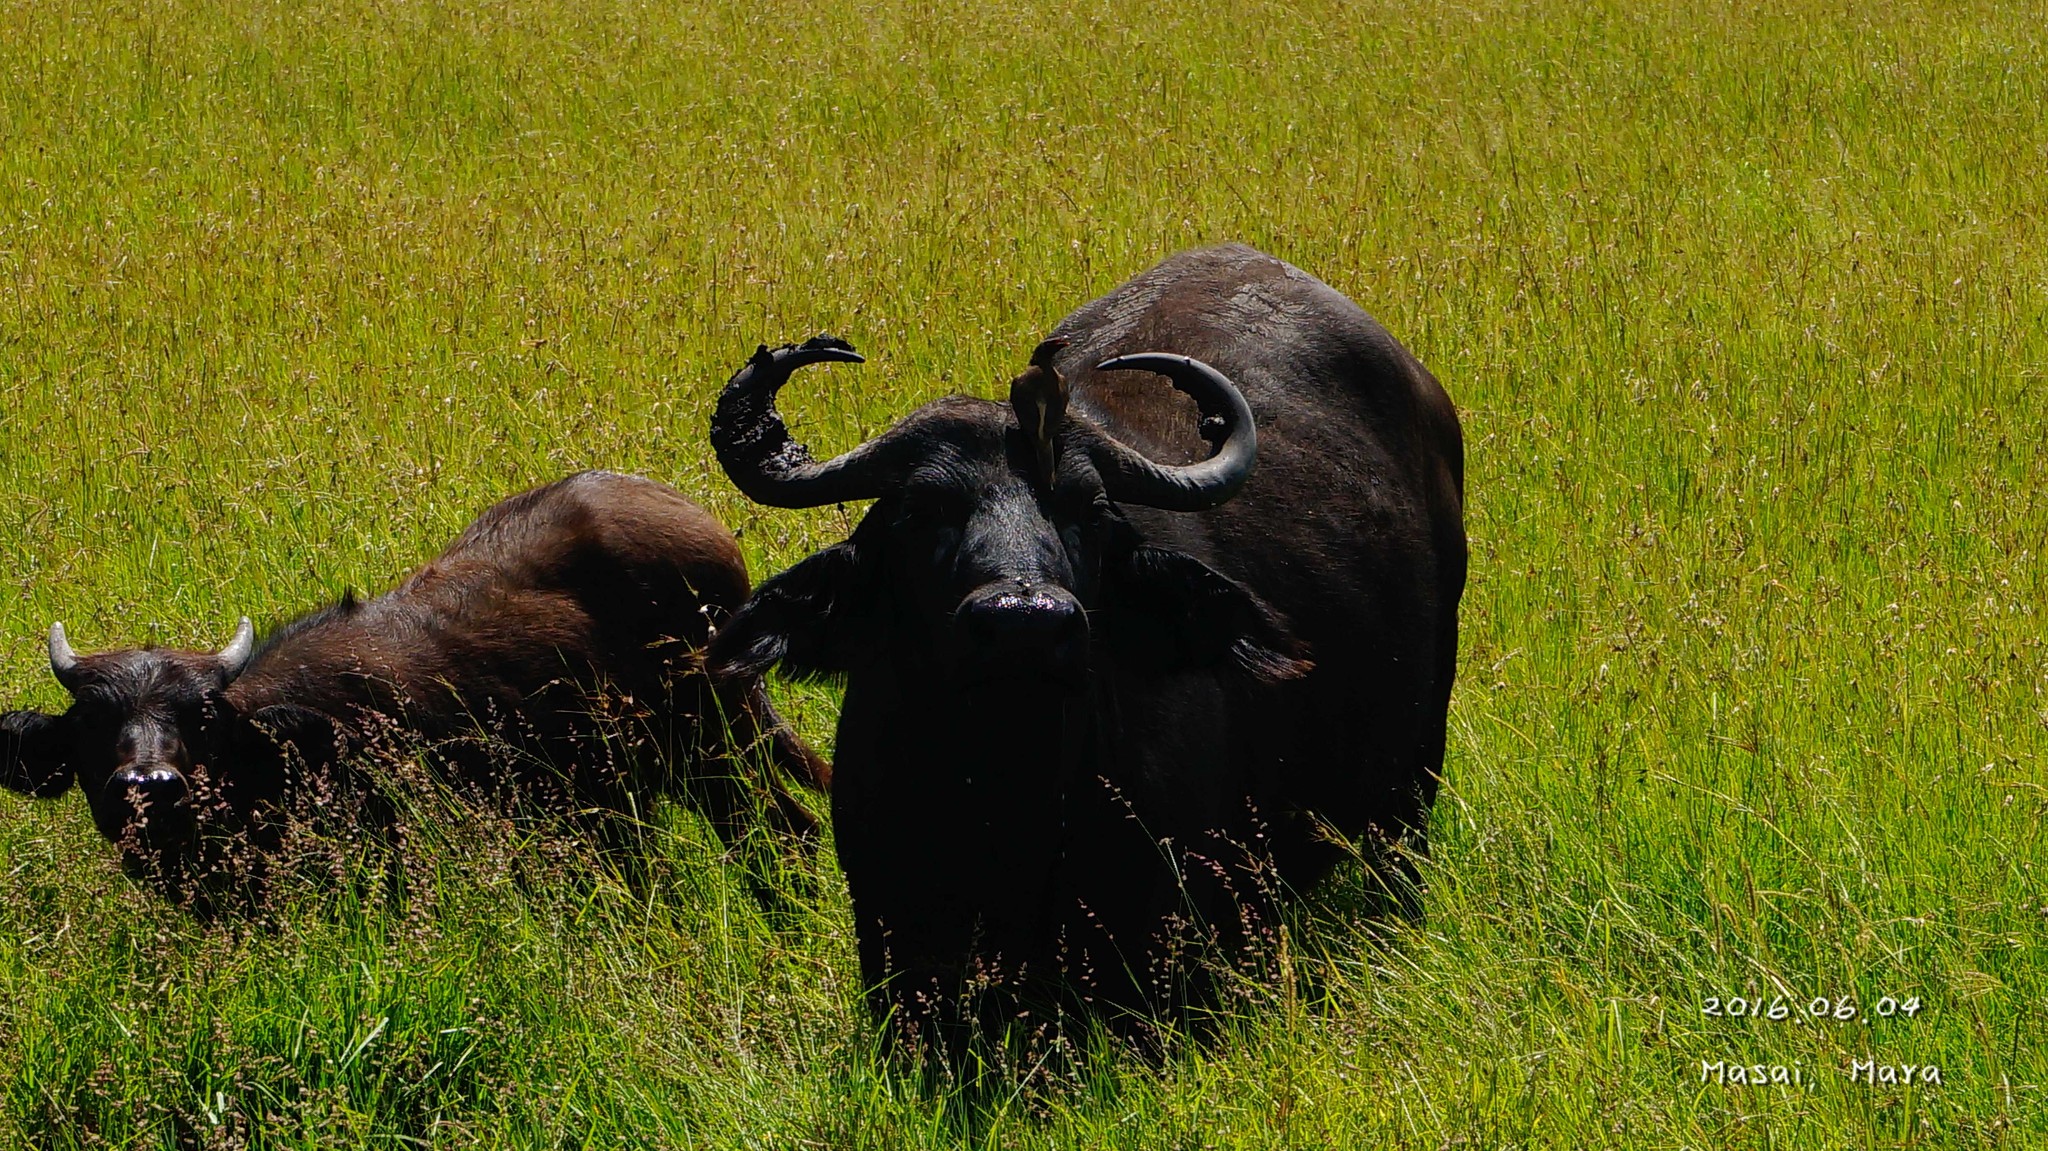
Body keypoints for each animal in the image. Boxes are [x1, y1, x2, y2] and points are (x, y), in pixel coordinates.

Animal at [712, 243, 1466, 1048]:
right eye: (920, 510)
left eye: (1091, 510)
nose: (1025, 622)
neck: (1004, 800)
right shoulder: (896, 944)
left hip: (1413, 780)